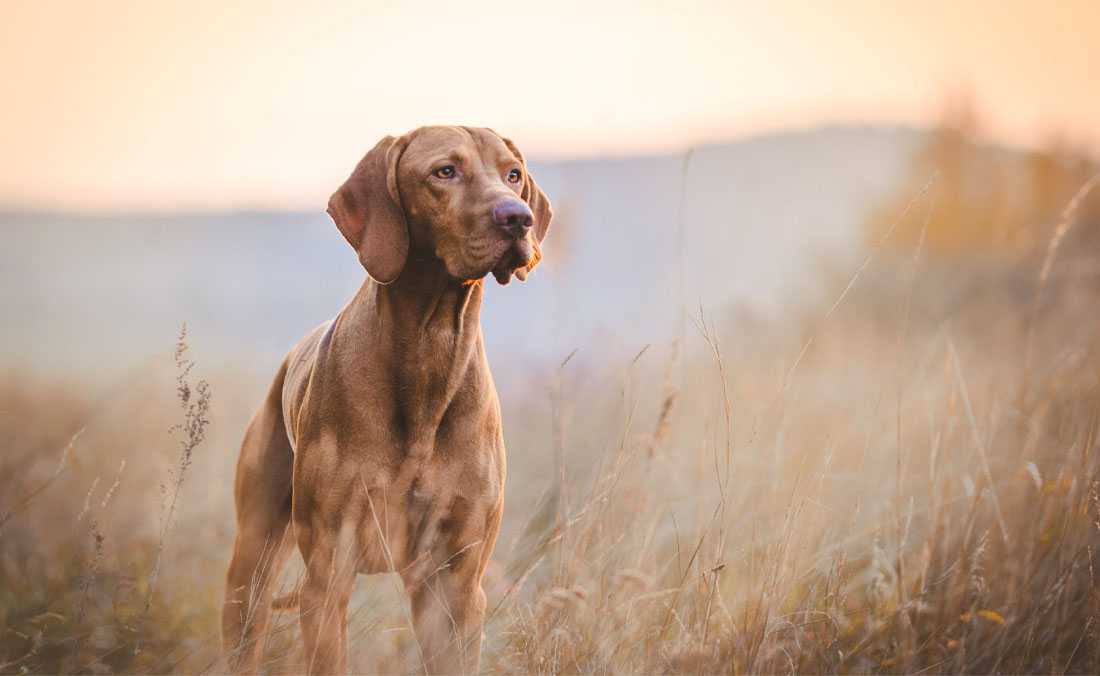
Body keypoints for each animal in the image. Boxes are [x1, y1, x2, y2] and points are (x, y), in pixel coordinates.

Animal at [221, 125, 550, 672]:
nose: (518, 217)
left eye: (513, 174)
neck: (430, 349)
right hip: (252, 561)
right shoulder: (329, 573)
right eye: (444, 171)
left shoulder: (456, 585)